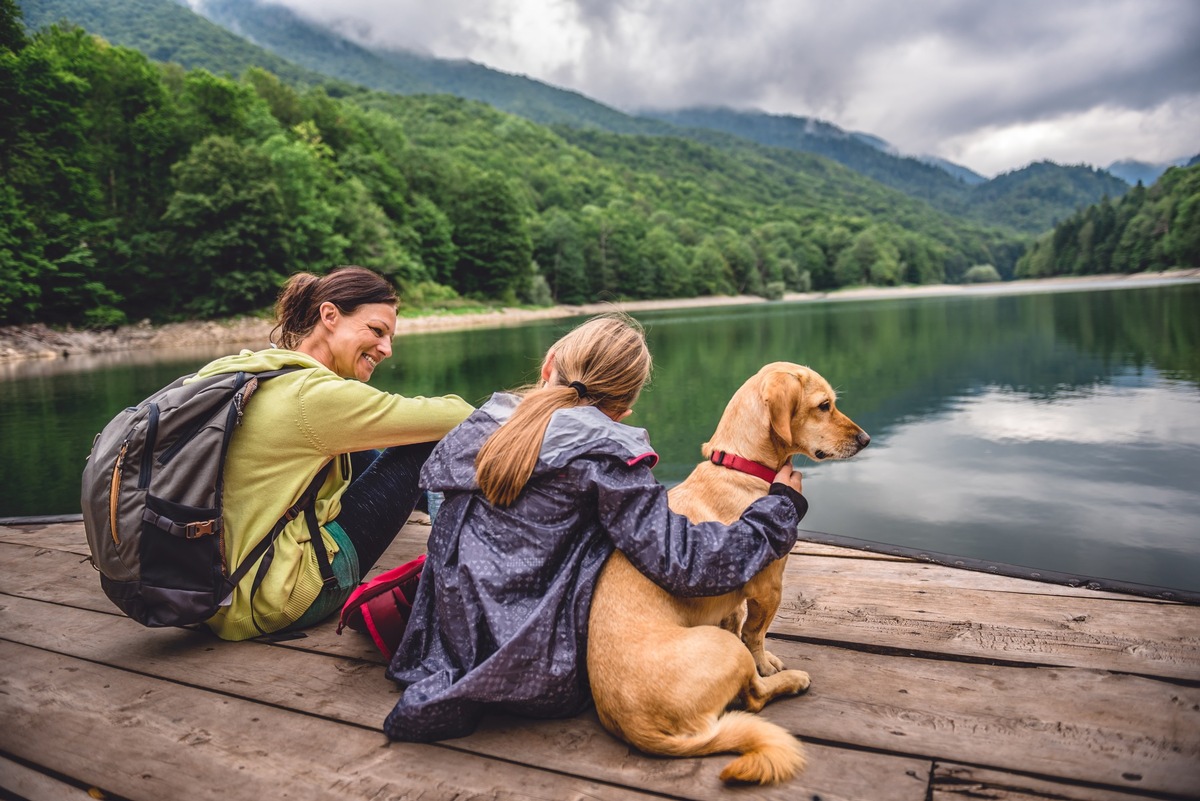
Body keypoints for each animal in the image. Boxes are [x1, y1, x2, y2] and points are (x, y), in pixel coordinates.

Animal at [585, 362, 868, 781]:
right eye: (824, 405)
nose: (866, 439)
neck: (741, 467)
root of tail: (639, 728)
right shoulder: (769, 589)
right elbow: (756, 635)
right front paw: (767, 664)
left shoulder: (734, 601)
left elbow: (739, 622)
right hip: (726, 650)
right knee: (754, 697)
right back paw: (790, 681)